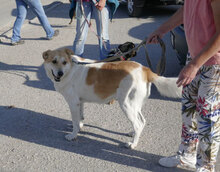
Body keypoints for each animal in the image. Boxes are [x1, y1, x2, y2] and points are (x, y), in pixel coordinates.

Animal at [42, 47, 181, 148]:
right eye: (54, 61)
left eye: (64, 62)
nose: (60, 73)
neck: (70, 69)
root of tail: (145, 69)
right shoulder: (80, 102)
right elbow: (80, 118)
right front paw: (80, 127)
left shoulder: (73, 103)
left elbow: (75, 121)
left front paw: (73, 135)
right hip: (135, 105)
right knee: (141, 121)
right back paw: (133, 133)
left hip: (126, 104)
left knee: (138, 124)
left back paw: (133, 144)